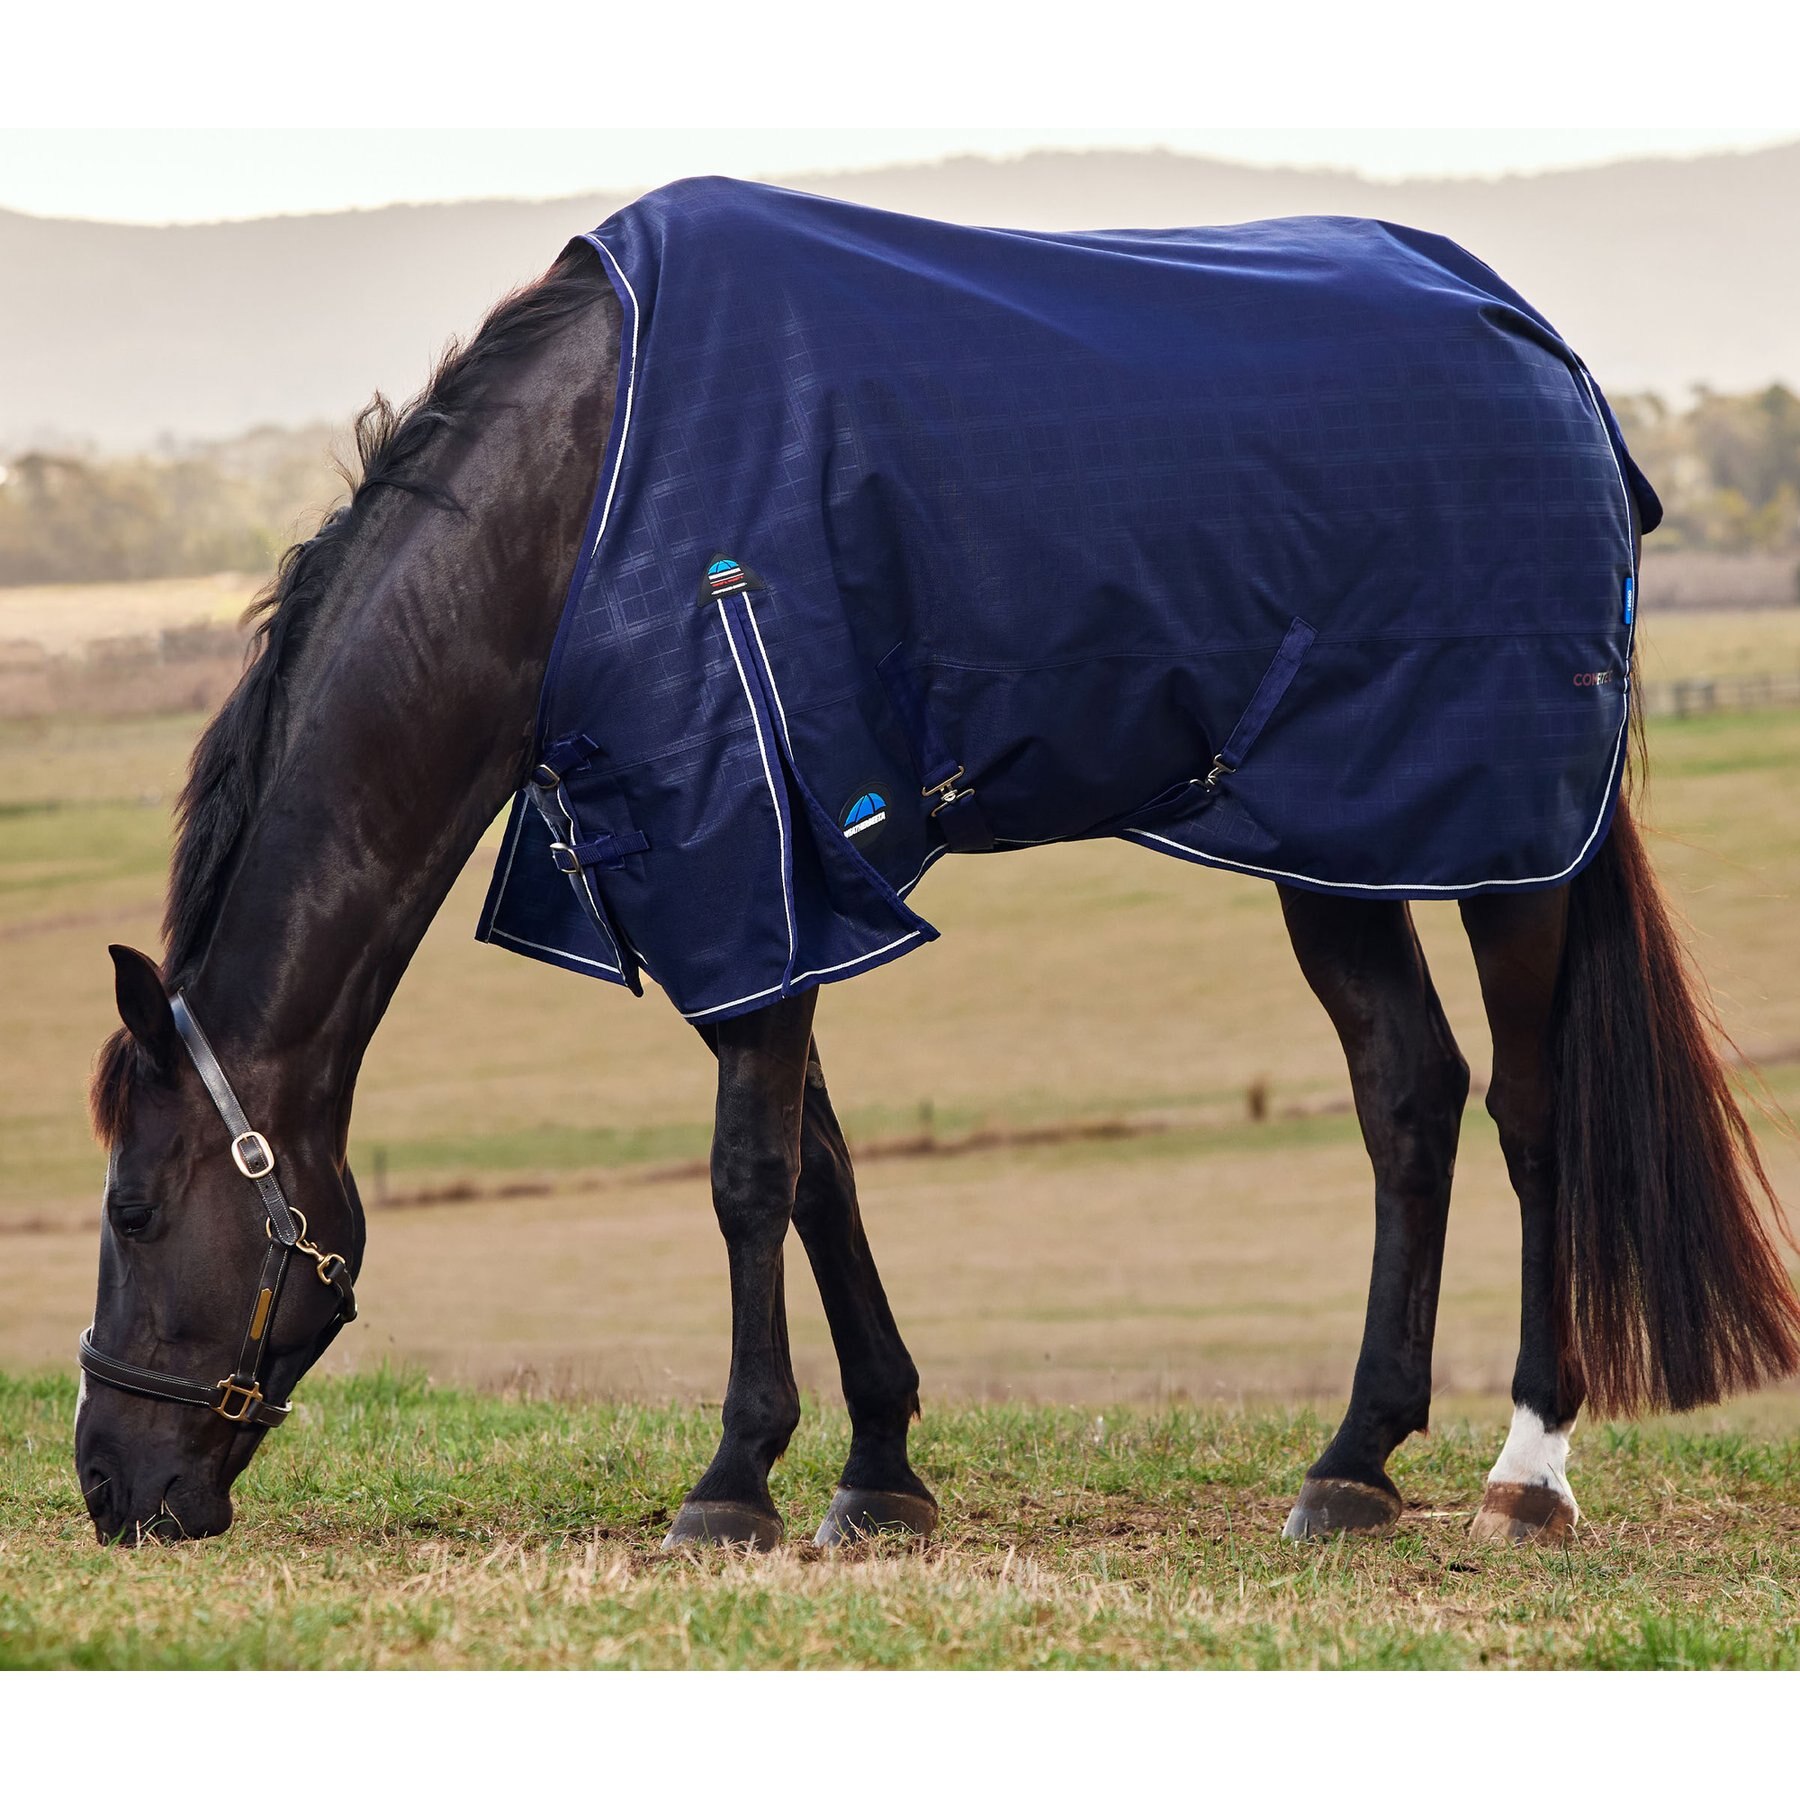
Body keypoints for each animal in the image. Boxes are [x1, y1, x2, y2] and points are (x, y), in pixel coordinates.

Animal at [76, 180, 1800, 1549]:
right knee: (1408, 1097)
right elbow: (818, 1169)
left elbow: (745, 1175)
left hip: (1504, 845)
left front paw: (733, 1484)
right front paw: (878, 1470)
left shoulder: (749, 850)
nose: (109, 1485)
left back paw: (1528, 1475)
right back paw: (1353, 1466)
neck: (583, 506)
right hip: (1337, 836)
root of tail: (1553, 363)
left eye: (138, 1213)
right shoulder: (765, 892)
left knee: (1528, 1109)